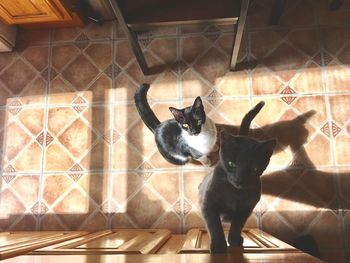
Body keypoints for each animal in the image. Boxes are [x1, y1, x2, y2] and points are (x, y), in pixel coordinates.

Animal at [200, 101, 276, 254]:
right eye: (231, 163)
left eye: (254, 169)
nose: (239, 180)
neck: (234, 193)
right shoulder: (208, 204)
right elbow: (214, 225)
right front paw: (218, 246)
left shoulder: (246, 208)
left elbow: (237, 225)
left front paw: (234, 240)